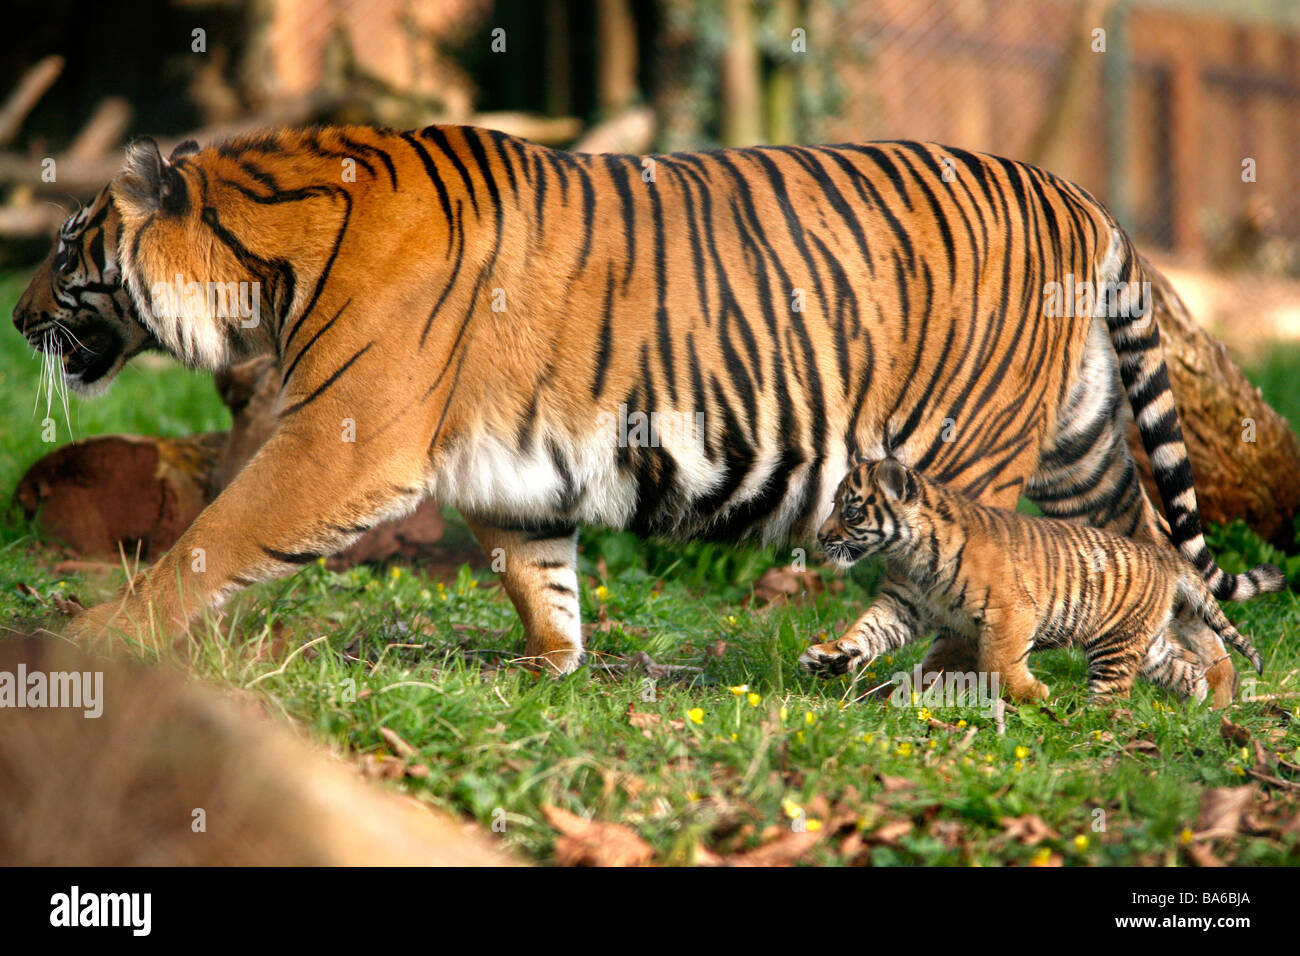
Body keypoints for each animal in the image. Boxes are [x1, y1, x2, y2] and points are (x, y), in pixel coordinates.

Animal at [12, 123, 1279, 697]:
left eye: (67, 248)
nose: (14, 316)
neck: (262, 253)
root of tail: (1083, 196)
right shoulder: (501, 466)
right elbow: (536, 570)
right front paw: (548, 665)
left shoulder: (340, 439)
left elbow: (209, 539)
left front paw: (98, 641)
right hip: (1078, 448)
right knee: (1143, 552)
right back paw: (1201, 684)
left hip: (972, 449)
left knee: (978, 572)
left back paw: (929, 679)